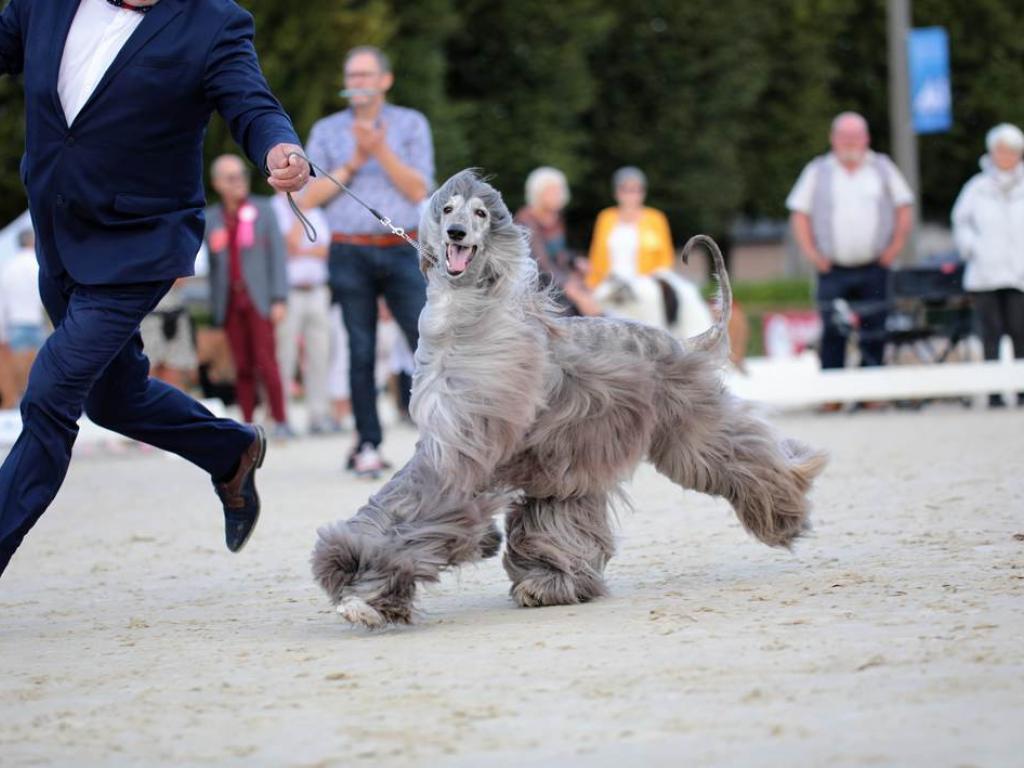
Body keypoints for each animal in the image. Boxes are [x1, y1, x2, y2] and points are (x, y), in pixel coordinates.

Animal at [307, 171, 827, 626]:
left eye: (480, 213)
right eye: (448, 209)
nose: (455, 233)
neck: (470, 323)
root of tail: (687, 344)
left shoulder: (461, 446)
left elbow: (415, 508)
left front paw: (364, 591)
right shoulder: (453, 439)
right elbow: (399, 506)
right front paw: (358, 577)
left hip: (686, 427)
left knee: (745, 456)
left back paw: (788, 511)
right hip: (572, 457)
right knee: (562, 517)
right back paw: (552, 583)